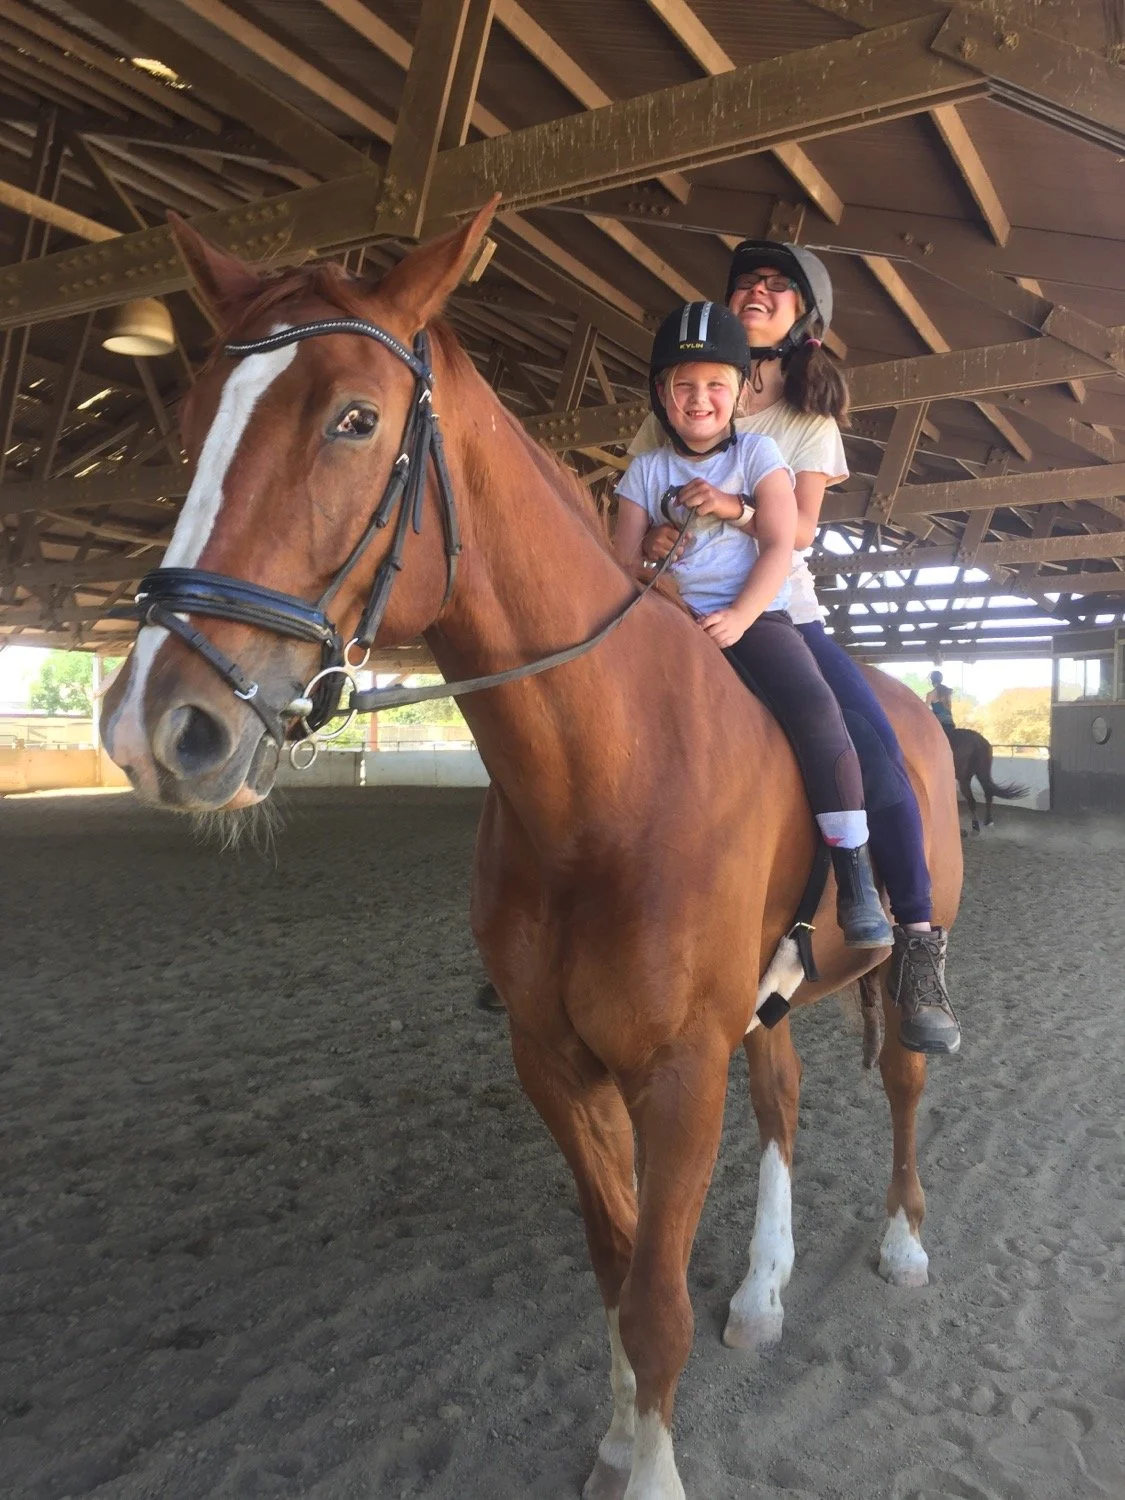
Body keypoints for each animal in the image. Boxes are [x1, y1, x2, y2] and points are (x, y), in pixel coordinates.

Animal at [102, 203, 962, 1500]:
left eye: (355, 420)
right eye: (200, 420)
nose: (160, 728)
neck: (605, 788)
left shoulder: (679, 1072)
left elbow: (656, 1298)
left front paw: (649, 1471)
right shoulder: (557, 1064)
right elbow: (617, 1265)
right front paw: (614, 1437)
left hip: (904, 957)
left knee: (904, 1083)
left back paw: (907, 1245)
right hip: (769, 1001)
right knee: (786, 1101)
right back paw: (763, 1293)